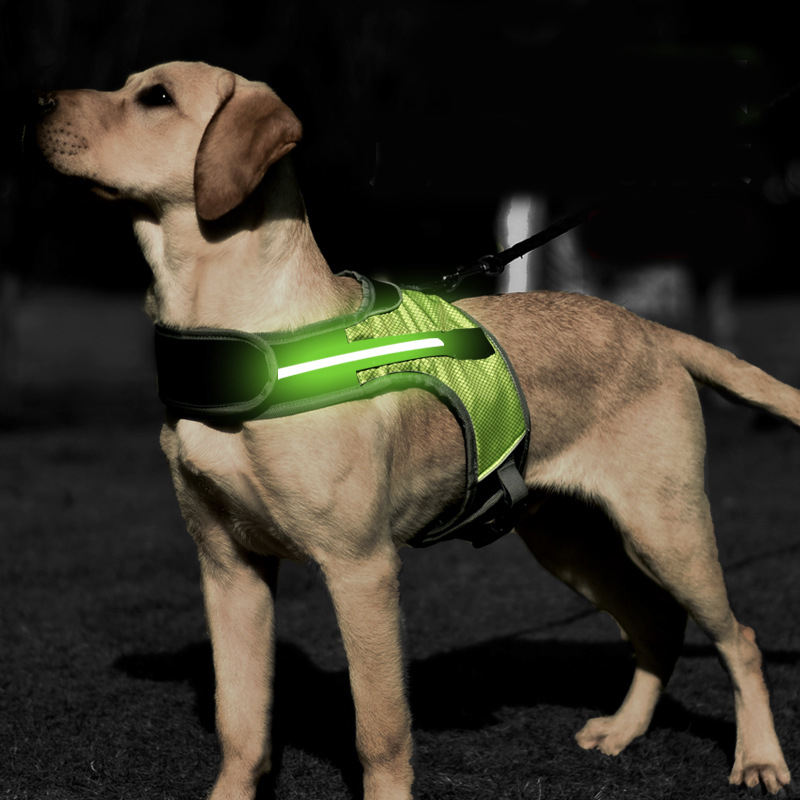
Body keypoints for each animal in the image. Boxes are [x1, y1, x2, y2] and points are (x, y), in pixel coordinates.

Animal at [34, 62, 796, 800]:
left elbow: (379, 731)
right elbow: (241, 726)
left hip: (667, 529)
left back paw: (758, 757)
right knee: (655, 626)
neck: (246, 337)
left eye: (156, 97)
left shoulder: (362, 569)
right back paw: (625, 729)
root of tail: (653, 329)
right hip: (569, 541)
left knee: (739, 637)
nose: (35, 103)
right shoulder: (229, 569)